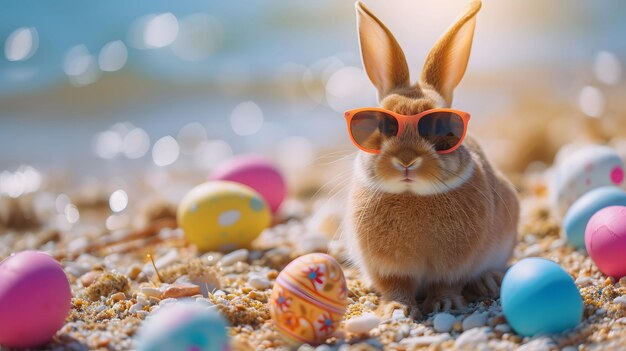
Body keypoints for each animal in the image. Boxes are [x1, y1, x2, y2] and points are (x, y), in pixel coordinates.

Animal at [344, 0, 520, 320]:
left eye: (443, 129)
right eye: (383, 126)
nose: (406, 160)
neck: (413, 194)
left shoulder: (453, 267)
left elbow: (446, 284)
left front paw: (444, 305)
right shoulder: (390, 269)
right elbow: (397, 286)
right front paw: (397, 309)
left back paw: (488, 281)